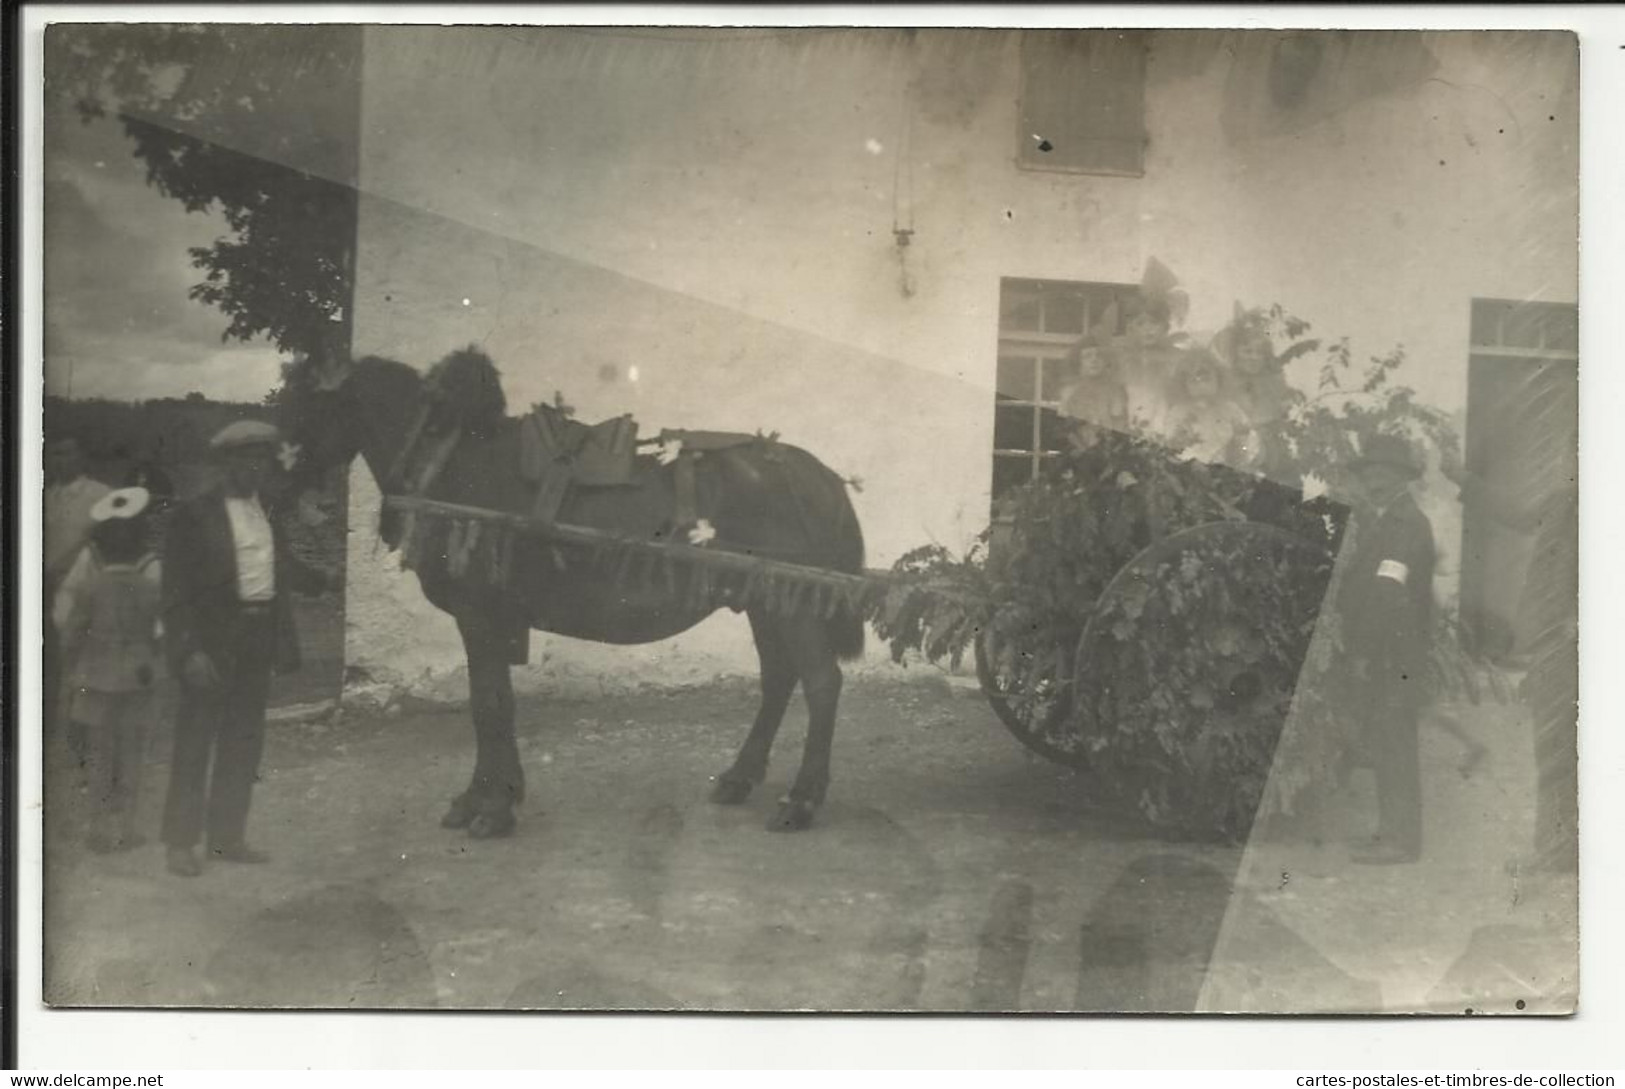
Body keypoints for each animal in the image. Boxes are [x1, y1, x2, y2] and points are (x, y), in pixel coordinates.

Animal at [297, 349, 871, 838]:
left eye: (301, 396)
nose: (292, 478)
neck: (449, 460)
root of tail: (819, 474)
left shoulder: (479, 614)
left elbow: (489, 703)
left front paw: (492, 807)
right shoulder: (488, 620)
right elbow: (492, 701)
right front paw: (486, 796)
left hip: (792, 602)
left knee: (821, 682)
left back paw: (802, 800)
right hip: (765, 600)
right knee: (778, 677)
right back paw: (740, 777)